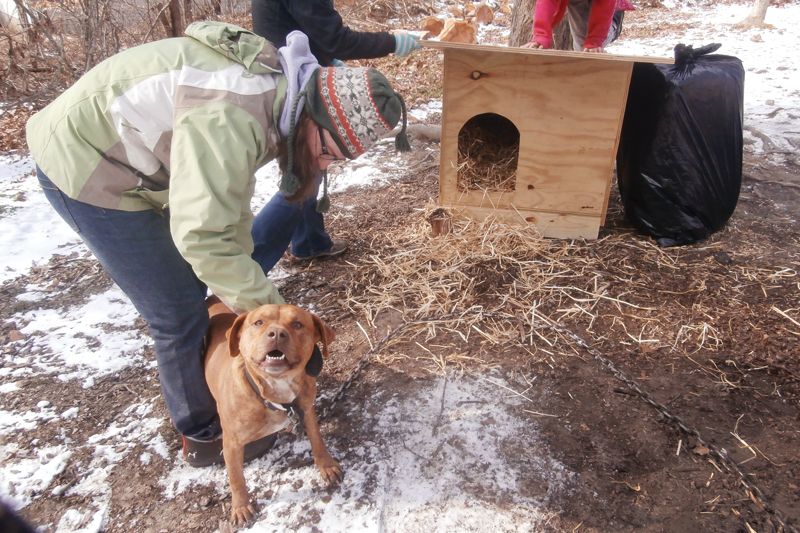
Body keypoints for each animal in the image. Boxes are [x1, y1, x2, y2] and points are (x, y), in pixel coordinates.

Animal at [203, 296, 340, 524]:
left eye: (297, 324)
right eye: (259, 322)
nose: (276, 333)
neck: (275, 392)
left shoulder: (307, 411)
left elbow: (317, 440)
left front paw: (326, 465)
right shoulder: (231, 444)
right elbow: (236, 478)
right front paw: (241, 507)